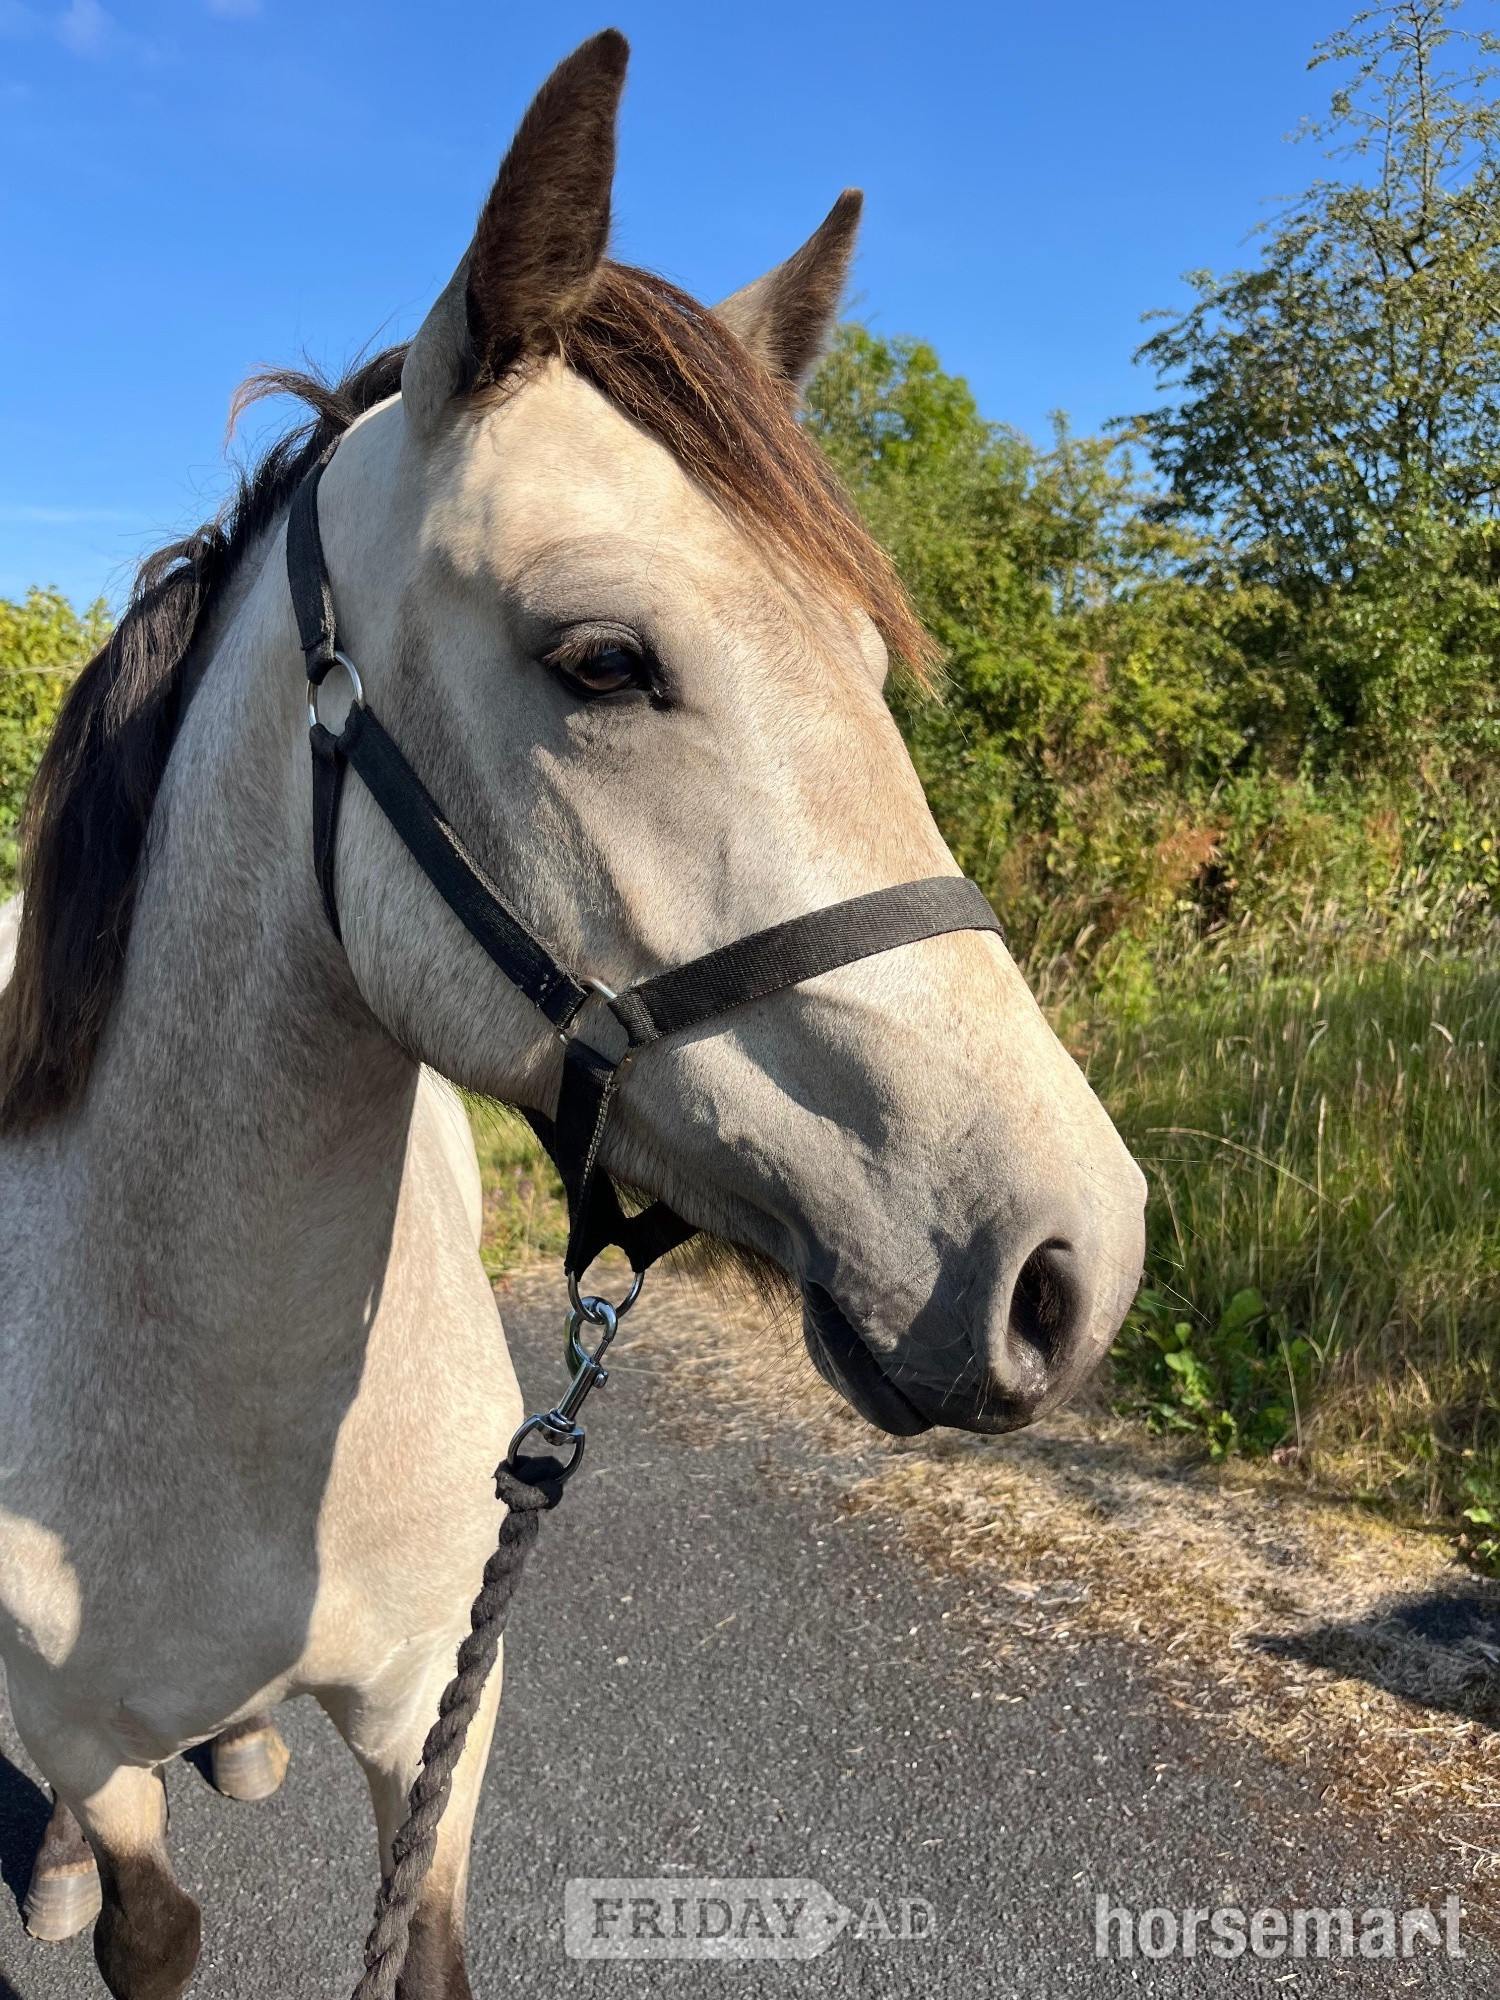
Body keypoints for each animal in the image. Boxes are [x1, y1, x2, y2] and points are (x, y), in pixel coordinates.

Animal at [0, 31, 1145, 2000]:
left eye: (867, 658)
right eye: (603, 659)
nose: (1077, 1264)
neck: (216, 1404)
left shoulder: (437, 1721)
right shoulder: (87, 1744)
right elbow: (145, 1916)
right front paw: (88, 1882)